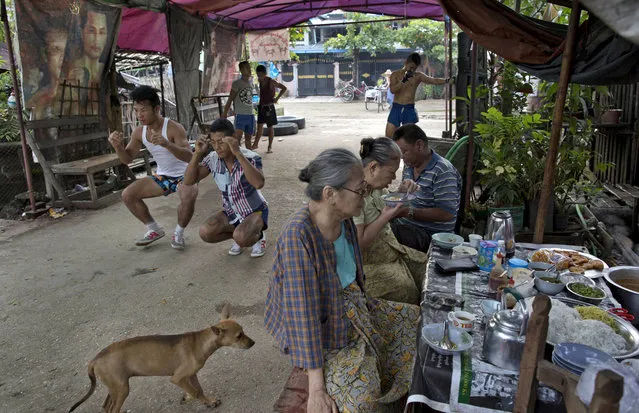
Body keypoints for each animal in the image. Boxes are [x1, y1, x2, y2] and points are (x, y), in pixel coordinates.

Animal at [67, 302, 252, 412]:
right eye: (239, 336)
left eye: (243, 331)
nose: (253, 343)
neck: (200, 342)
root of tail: (94, 360)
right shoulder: (178, 378)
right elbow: (195, 392)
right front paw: (199, 399)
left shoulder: (191, 374)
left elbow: (198, 389)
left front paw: (206, 400)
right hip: (121, 388)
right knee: (113, 409)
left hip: (115, 387)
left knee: (106, 406)